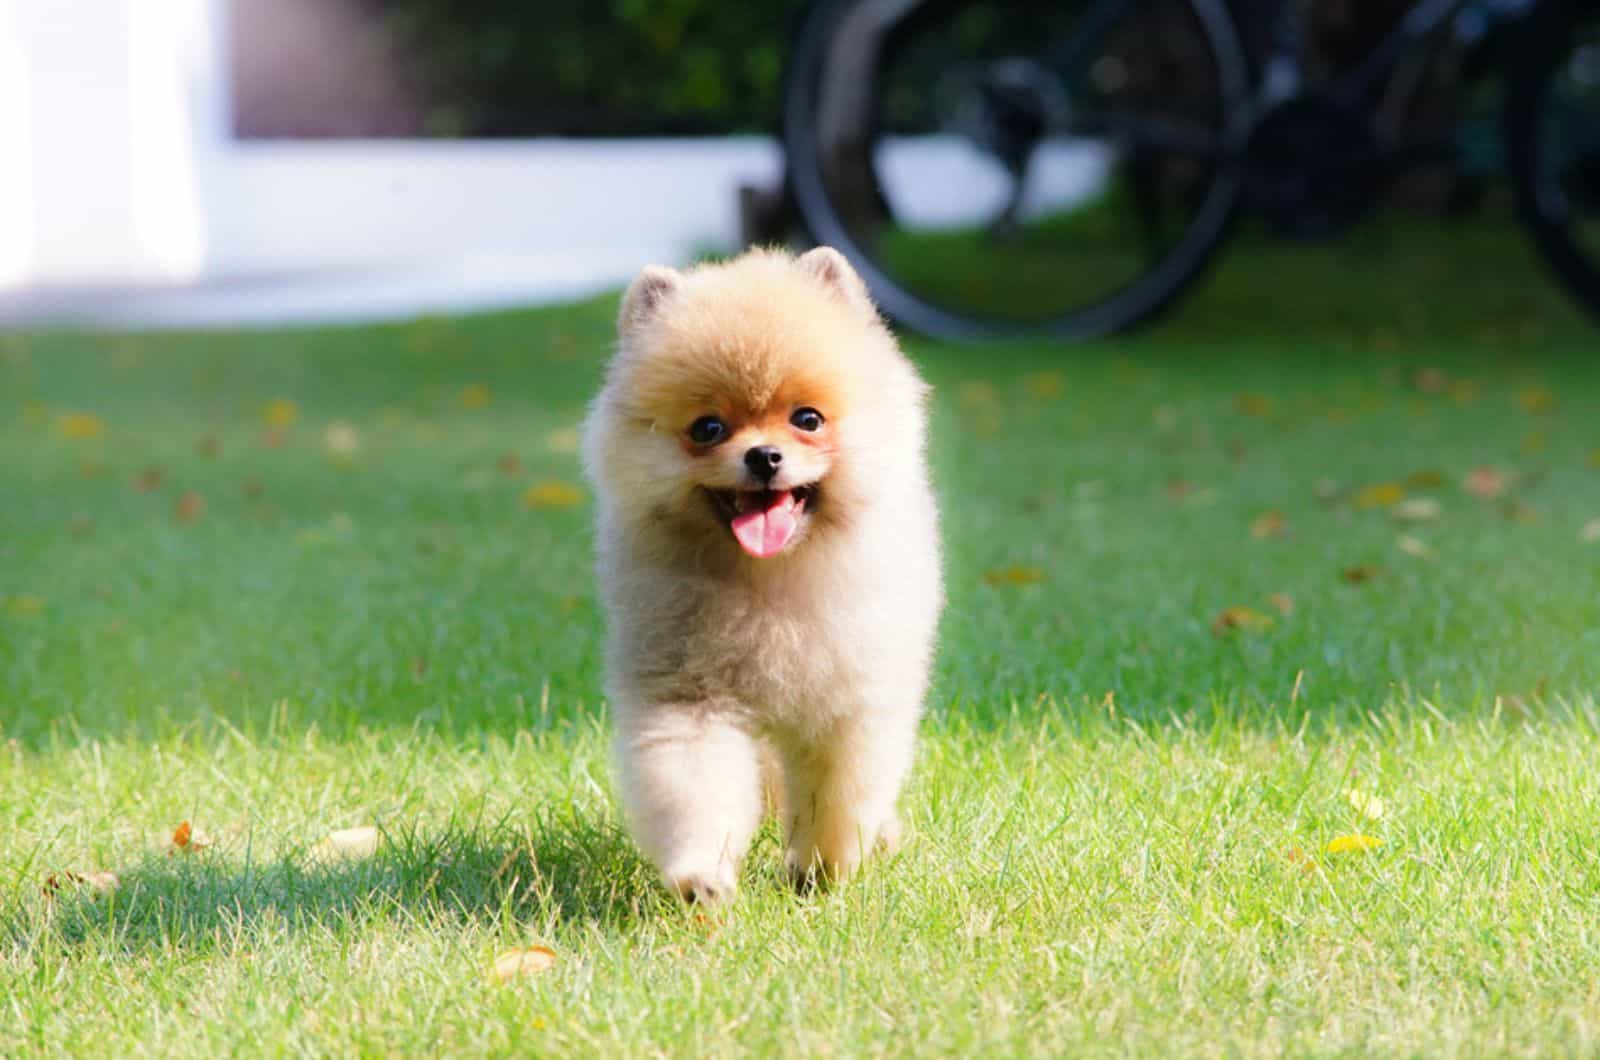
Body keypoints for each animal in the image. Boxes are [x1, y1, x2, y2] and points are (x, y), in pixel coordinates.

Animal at [585, 249, 934, 903]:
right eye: (708, 428)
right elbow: (695, 785)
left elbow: (836, 797)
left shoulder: (845, 705)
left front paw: (821, 870)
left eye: (808, 419)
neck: (767, 586)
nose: (764, 456)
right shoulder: (690, 696)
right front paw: (701, 874)